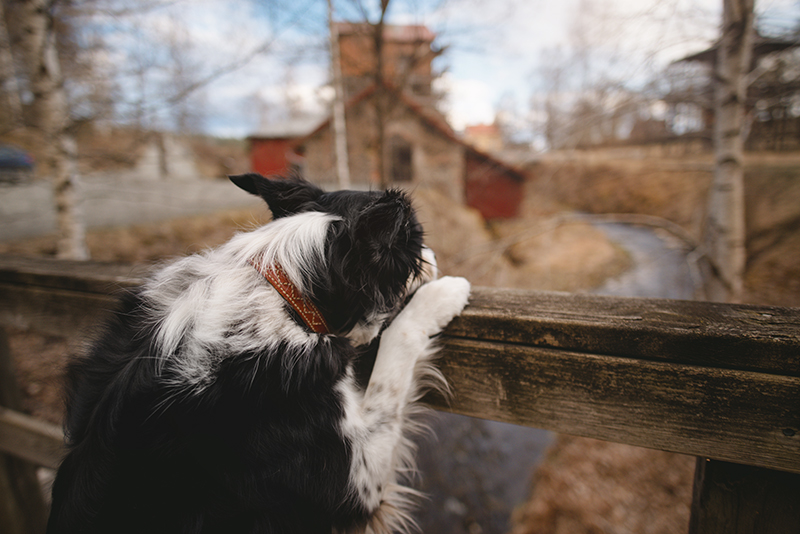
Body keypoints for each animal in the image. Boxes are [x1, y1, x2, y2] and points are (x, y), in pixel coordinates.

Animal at [47, 176, 472, 534]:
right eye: (415, 244)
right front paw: (442, 295)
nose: (434, 256)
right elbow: (395, 355)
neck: (285, 292)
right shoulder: (354, 482)